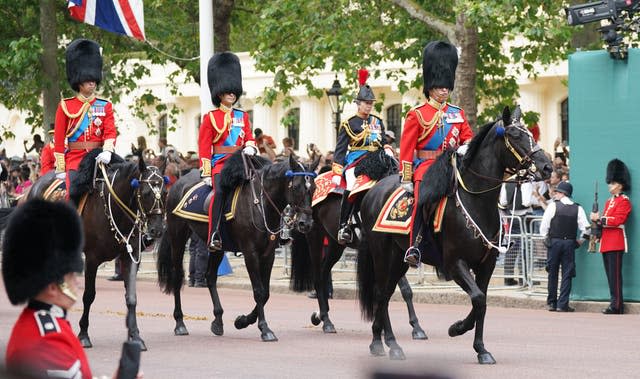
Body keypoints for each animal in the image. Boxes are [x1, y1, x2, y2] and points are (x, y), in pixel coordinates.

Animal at [27, 150, 168, 352]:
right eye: (146, 192)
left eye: (164, 192)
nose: (157, 230)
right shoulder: (92, 259)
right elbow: (89, 295)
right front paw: (83, 334)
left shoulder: (130, 256)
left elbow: (131, 297)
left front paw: (135, 336)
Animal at [158, 153, 318, 342]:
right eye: (297, 187)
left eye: (314, 187)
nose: (306, 224)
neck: (261, 204)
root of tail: (177, 183)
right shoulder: (250, 253)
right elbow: (258, 291)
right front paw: (265, 329)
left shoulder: (268, 254)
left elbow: (266, 293)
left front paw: (242, 321)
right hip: (178, 237)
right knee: (177, 276)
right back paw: (180, 323)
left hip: (217, 247)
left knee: (210, 277)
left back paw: (218, 321)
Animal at [292, 193, 430, 338]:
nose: (302, 222)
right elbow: (394, 289)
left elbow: (403, 290)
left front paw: (415, 326)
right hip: (315, 236)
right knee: (318, 277)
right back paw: (326, 321)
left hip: (335, 244)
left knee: (324, 272)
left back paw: (321, 315)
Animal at [358, 106, 552, 362]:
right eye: (515, 135)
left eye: (530, 133)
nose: (547, 166)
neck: (477, 202)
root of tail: (372, 191)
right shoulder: (454, 263)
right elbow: (478, 299)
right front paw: (457, 328)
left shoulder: (486, 264)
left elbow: (482, 302)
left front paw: (481, 349)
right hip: (382, 254)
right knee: (381, 293)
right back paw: (384, 343)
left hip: (399, 259)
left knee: (387, 293)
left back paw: (384, 342)